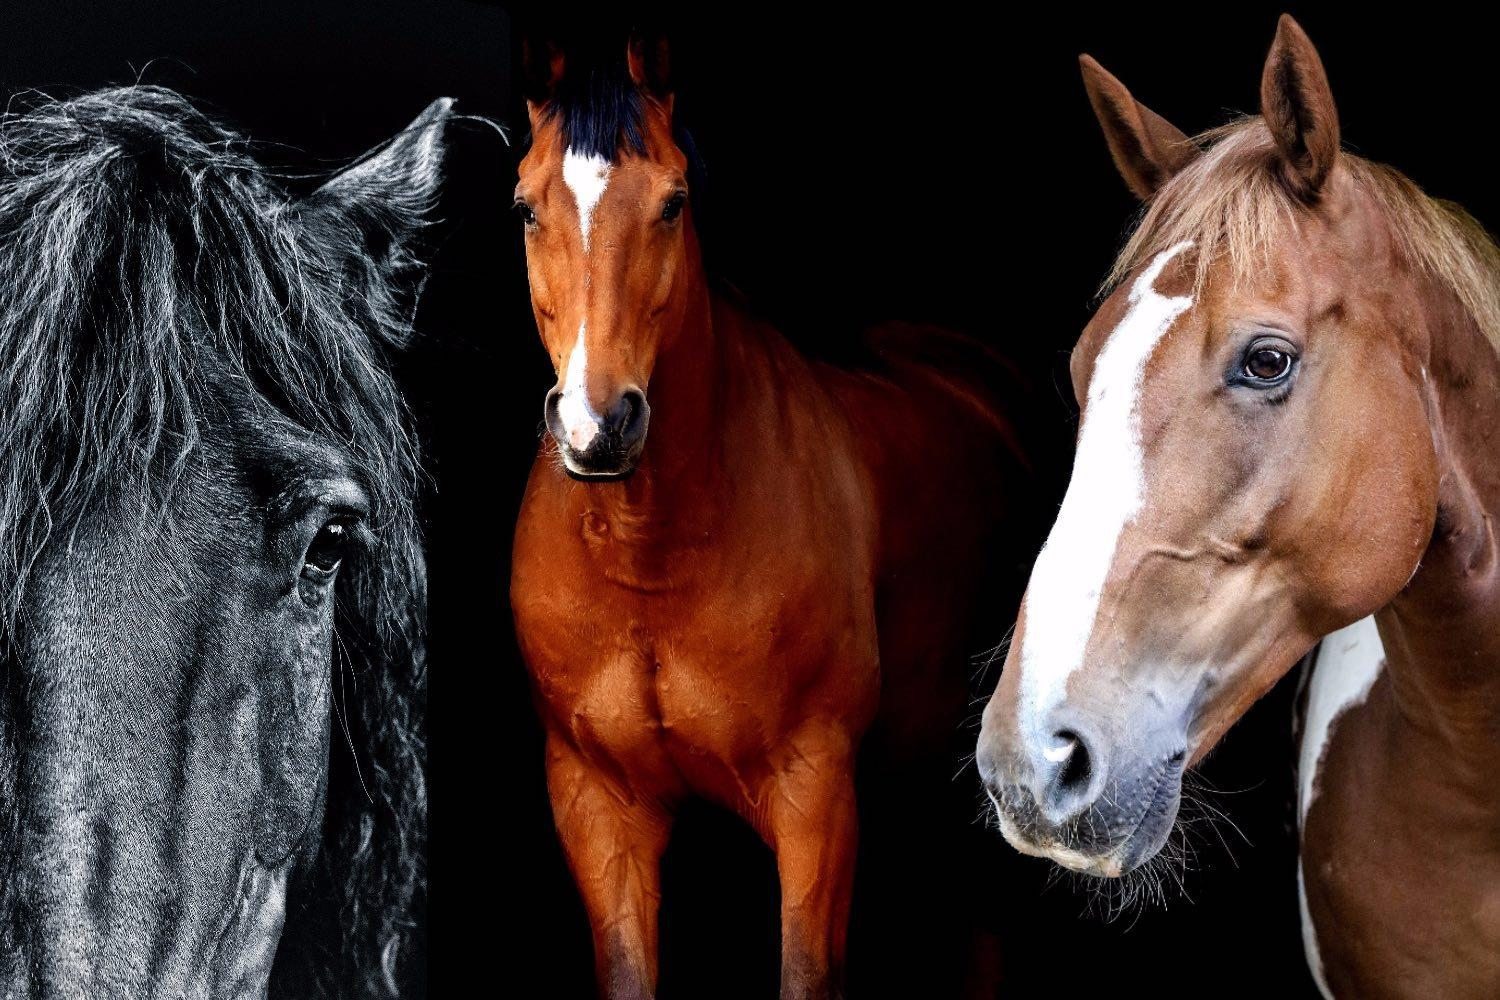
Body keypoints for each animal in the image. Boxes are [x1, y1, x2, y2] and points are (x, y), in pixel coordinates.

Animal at [509, 36, 1032, 1000]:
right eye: (526, 208)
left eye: (673, 202)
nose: (600, 424)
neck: (652, 556)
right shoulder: (596, 803)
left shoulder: (813, 793)